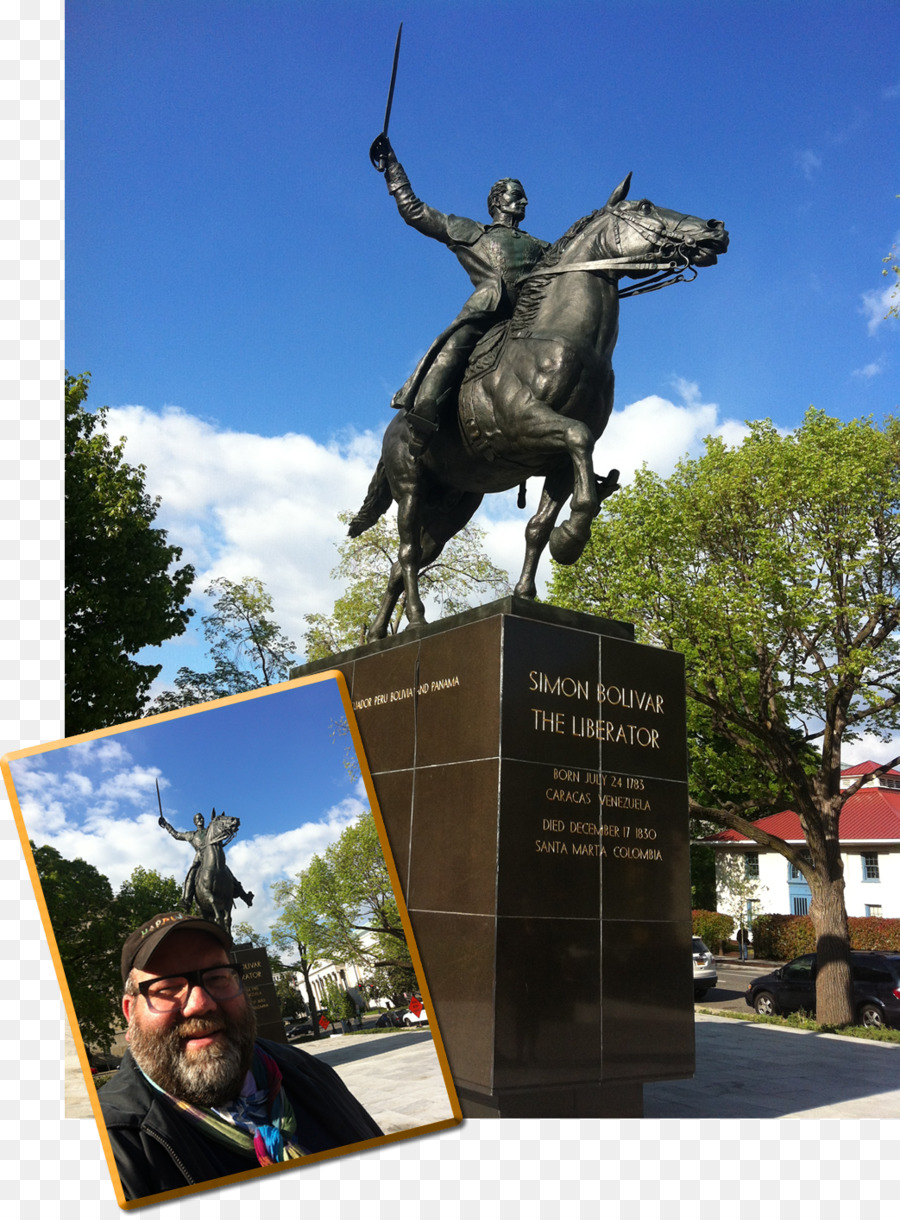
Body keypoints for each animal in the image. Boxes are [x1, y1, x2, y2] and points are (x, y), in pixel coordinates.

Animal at [346, 178, 726, 649]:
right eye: (644, 206)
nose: (715, 228)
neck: (565, 341)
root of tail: (393, 427)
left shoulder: (558, 461)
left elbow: (539, 525)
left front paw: (529, 590)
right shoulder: (524, 427)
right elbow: (579, 438)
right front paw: (570, 541)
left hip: (453, 506)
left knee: (404, 562)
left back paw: (378, 634)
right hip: (410, 485)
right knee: (408, 551)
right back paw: (415, 621)